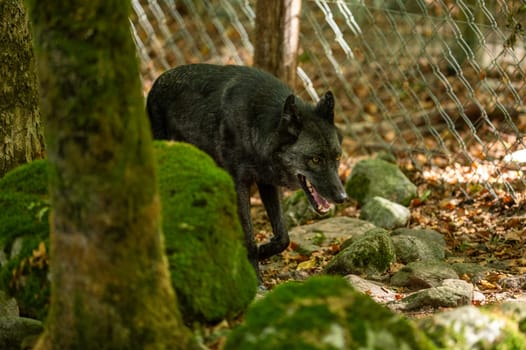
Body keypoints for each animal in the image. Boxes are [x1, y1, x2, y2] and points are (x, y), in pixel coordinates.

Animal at [146, 63, 348, 282]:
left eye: (337, 158)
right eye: (315, 159)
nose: (342, 197)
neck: (258, 125)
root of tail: (157, 81)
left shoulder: (266, 182)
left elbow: (283, 238)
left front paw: (262, 251)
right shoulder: (239, 183)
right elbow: (249, 237)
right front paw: (255, 276)